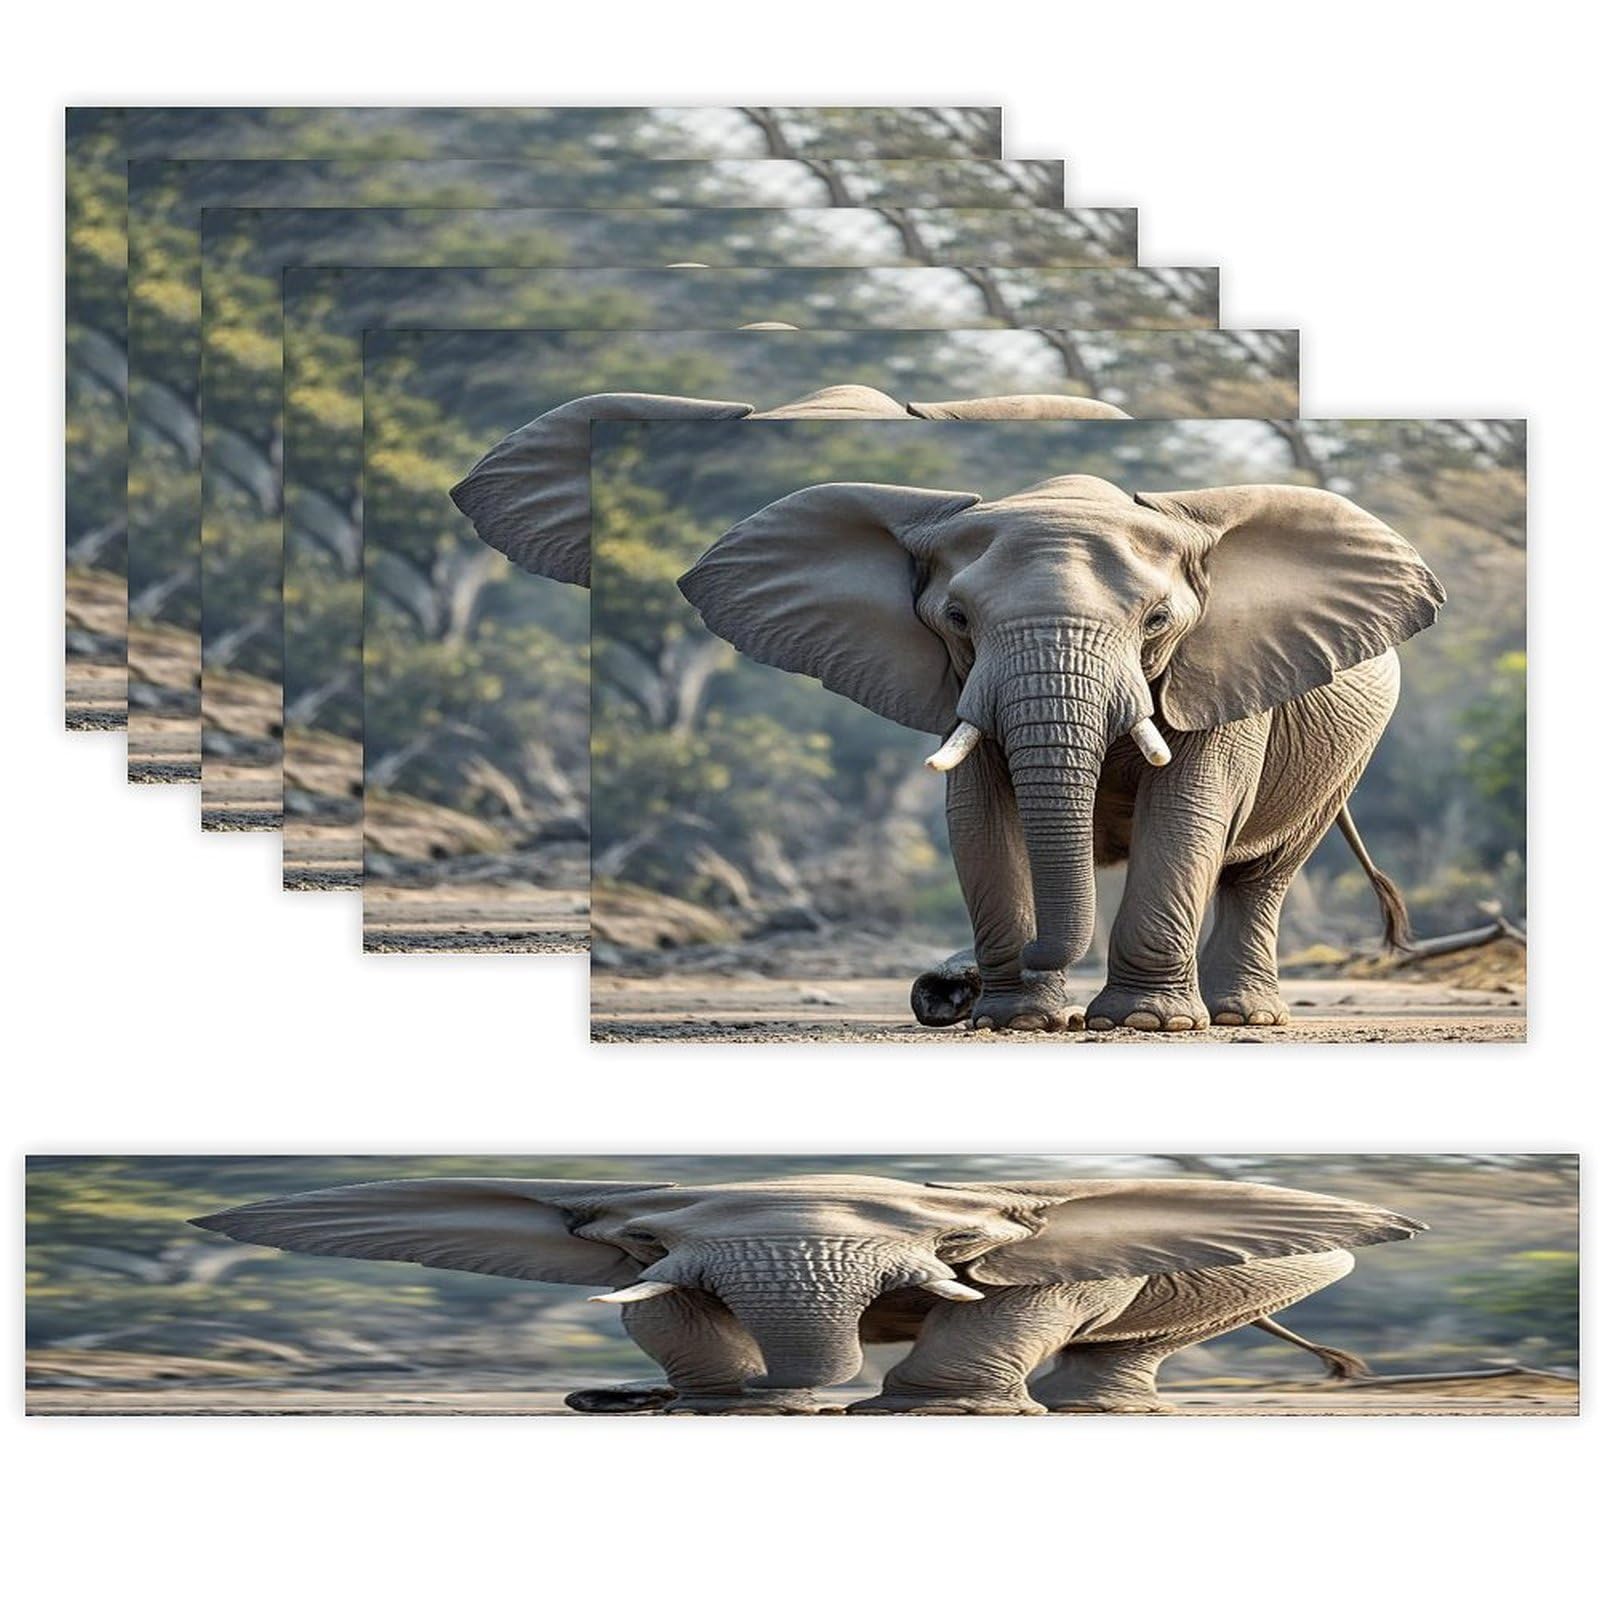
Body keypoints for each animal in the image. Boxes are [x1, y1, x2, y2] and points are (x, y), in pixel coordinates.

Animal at [677, 473, 1446, 1032]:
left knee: (1261, 875)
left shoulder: (1216, 676)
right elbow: (980, 818)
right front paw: (1017, 1020)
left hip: (1345, 758)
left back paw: (1243, 1016)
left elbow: (1188, 811)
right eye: (957, 618)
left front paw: (1142, 1023)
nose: (944, 985)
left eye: (1157, 620)